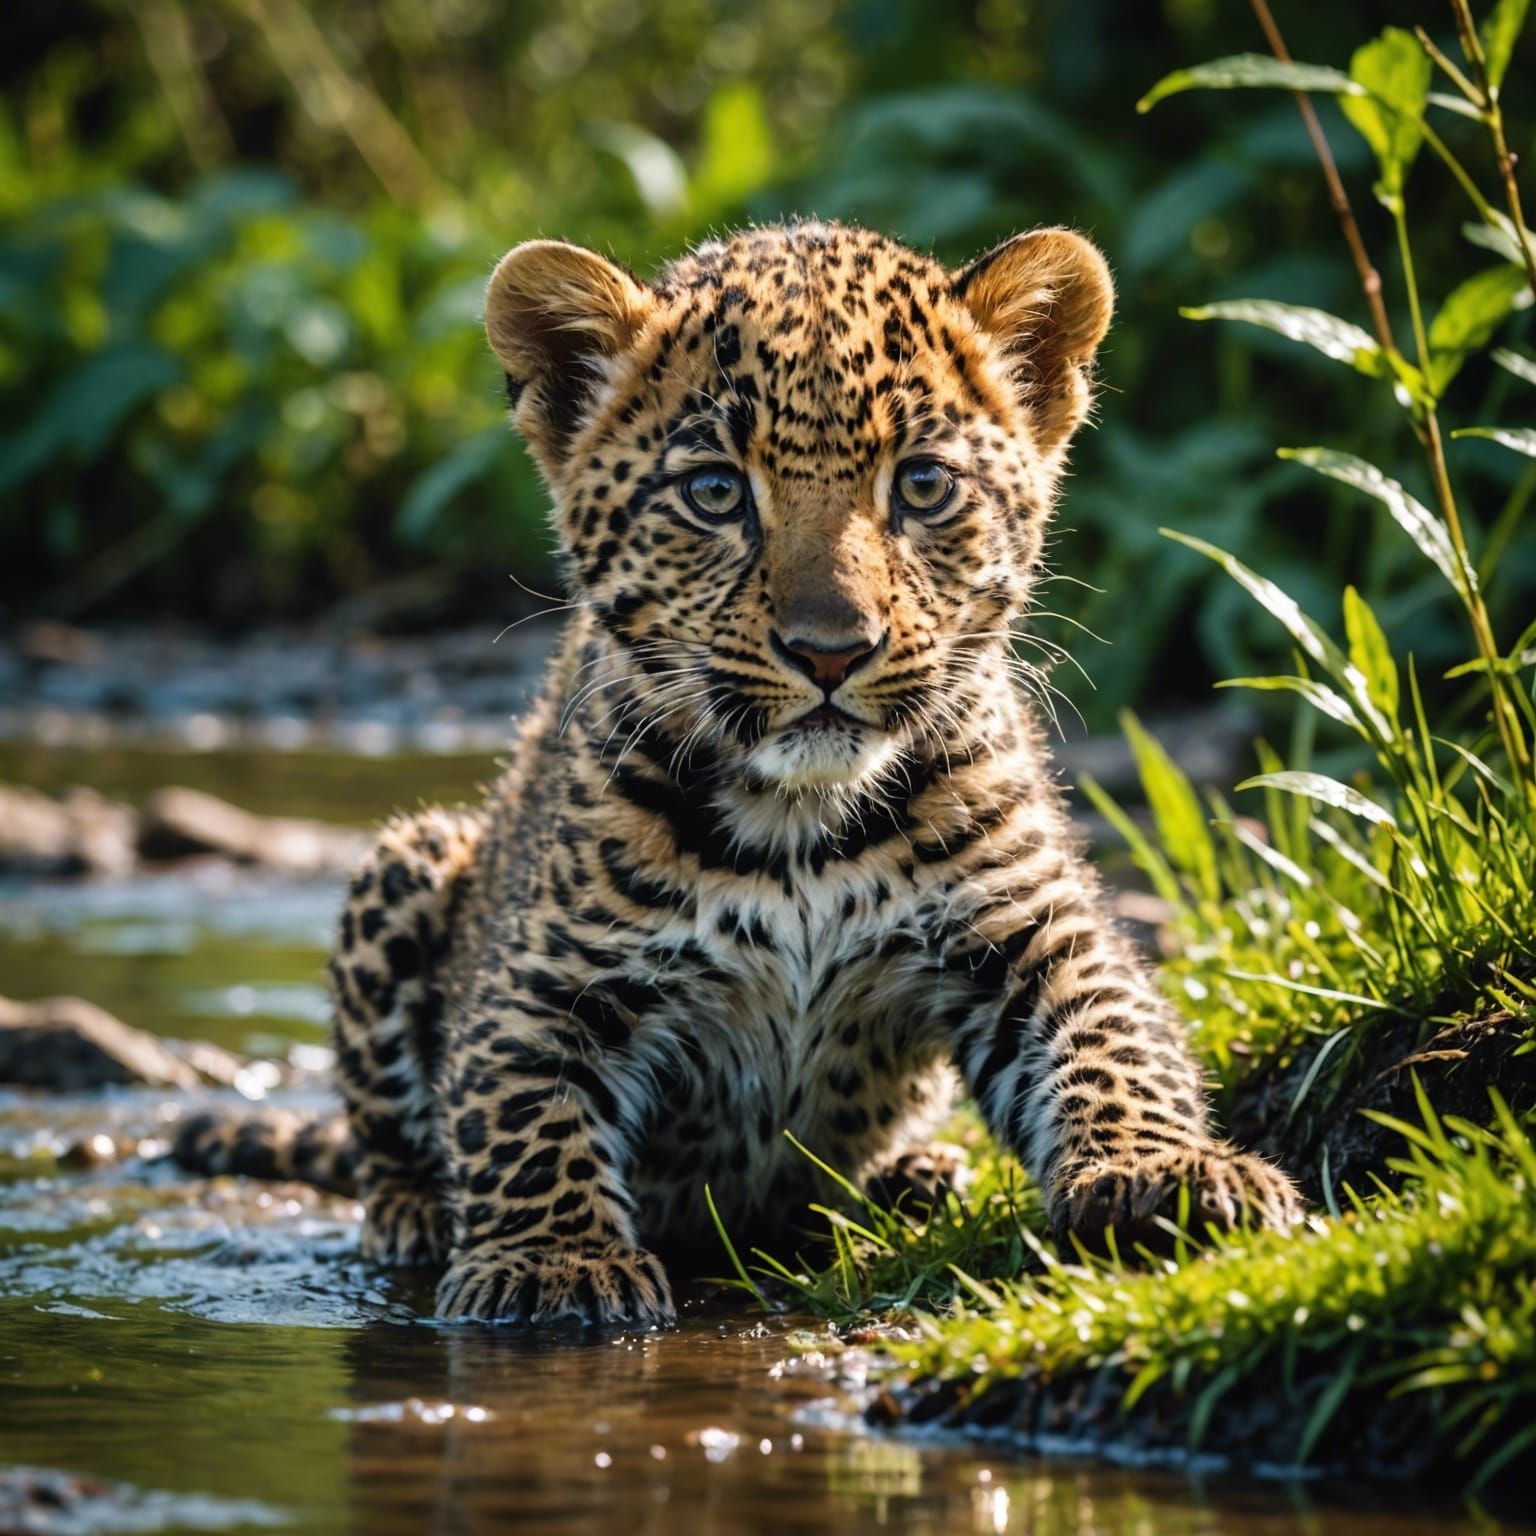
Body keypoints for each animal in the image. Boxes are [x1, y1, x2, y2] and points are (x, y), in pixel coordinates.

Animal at [175, 219, 1303, 1327]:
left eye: (923, 484)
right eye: (716, 492)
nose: (831, 651)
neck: (800, 817)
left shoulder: (1032, 930)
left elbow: (1117, 1039)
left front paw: (1169, 1170)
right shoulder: (543, 983)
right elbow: (519, 1110)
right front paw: (552, 1263)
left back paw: (911, 1179)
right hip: (410, 856)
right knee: (385, 1134)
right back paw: (412, 1215)